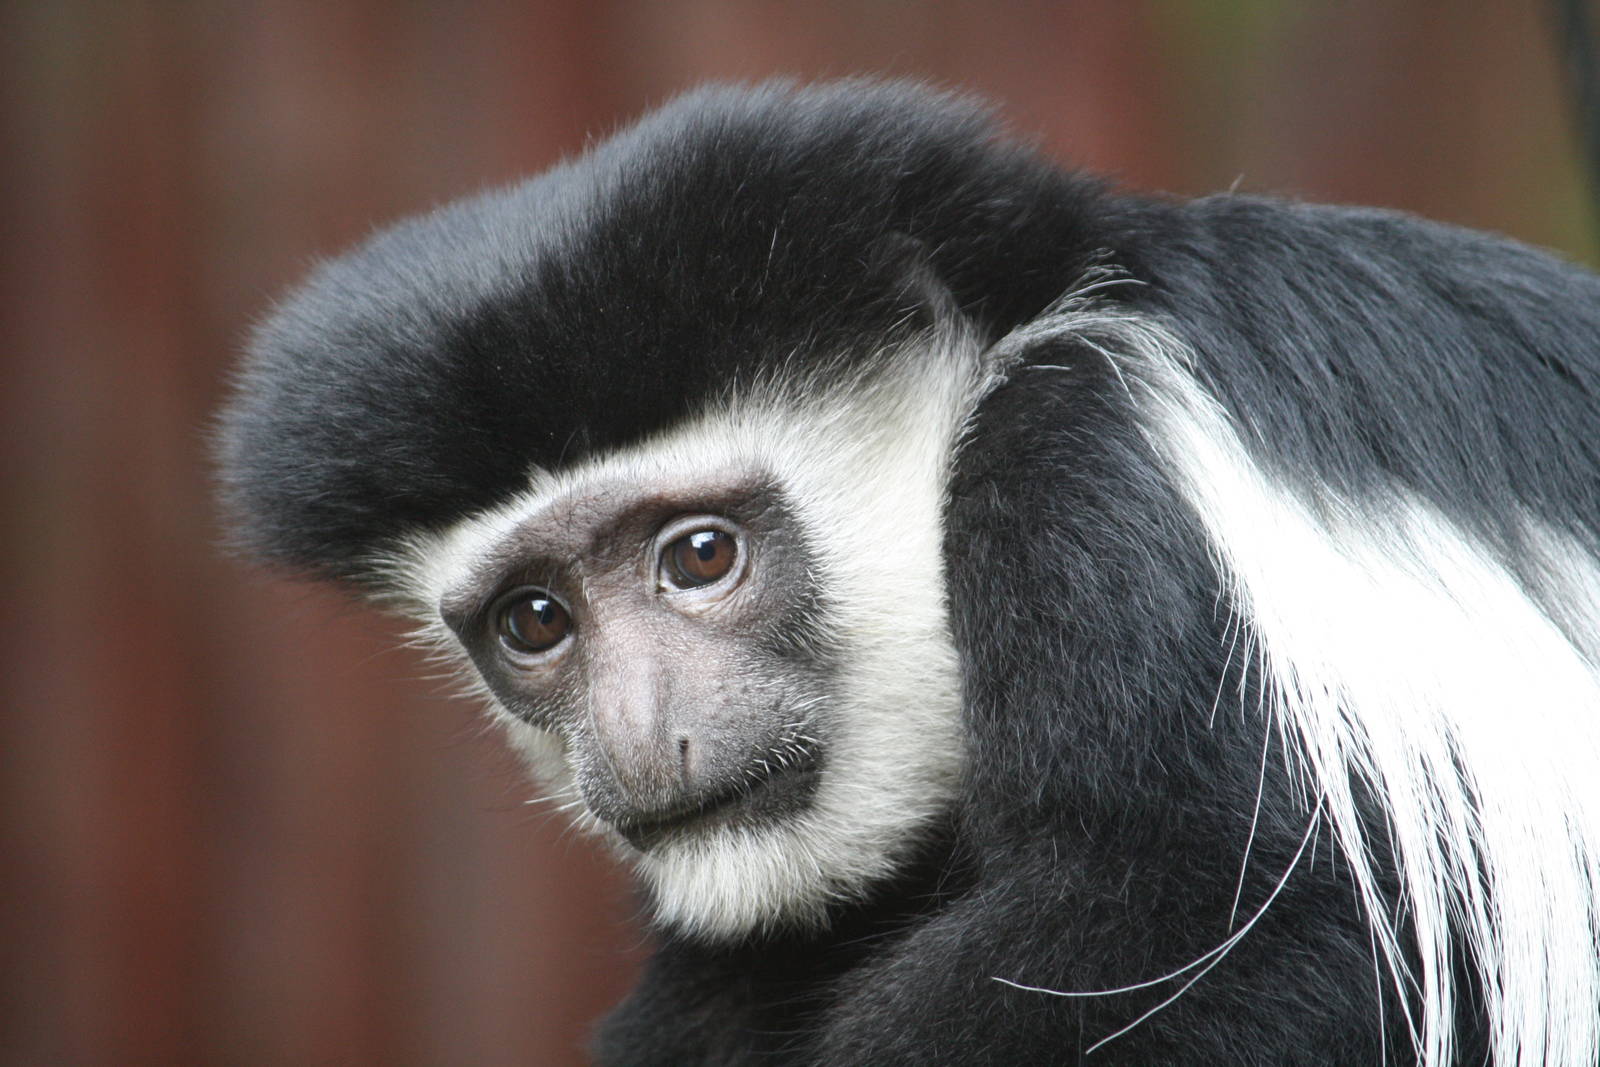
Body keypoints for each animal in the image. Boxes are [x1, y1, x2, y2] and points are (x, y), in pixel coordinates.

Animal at [216, 80, 1600, 1065]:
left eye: (700, 554)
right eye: (536, 620)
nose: (642, 731)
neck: (1031, 329)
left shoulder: (1088, 481)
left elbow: (1271, 914)